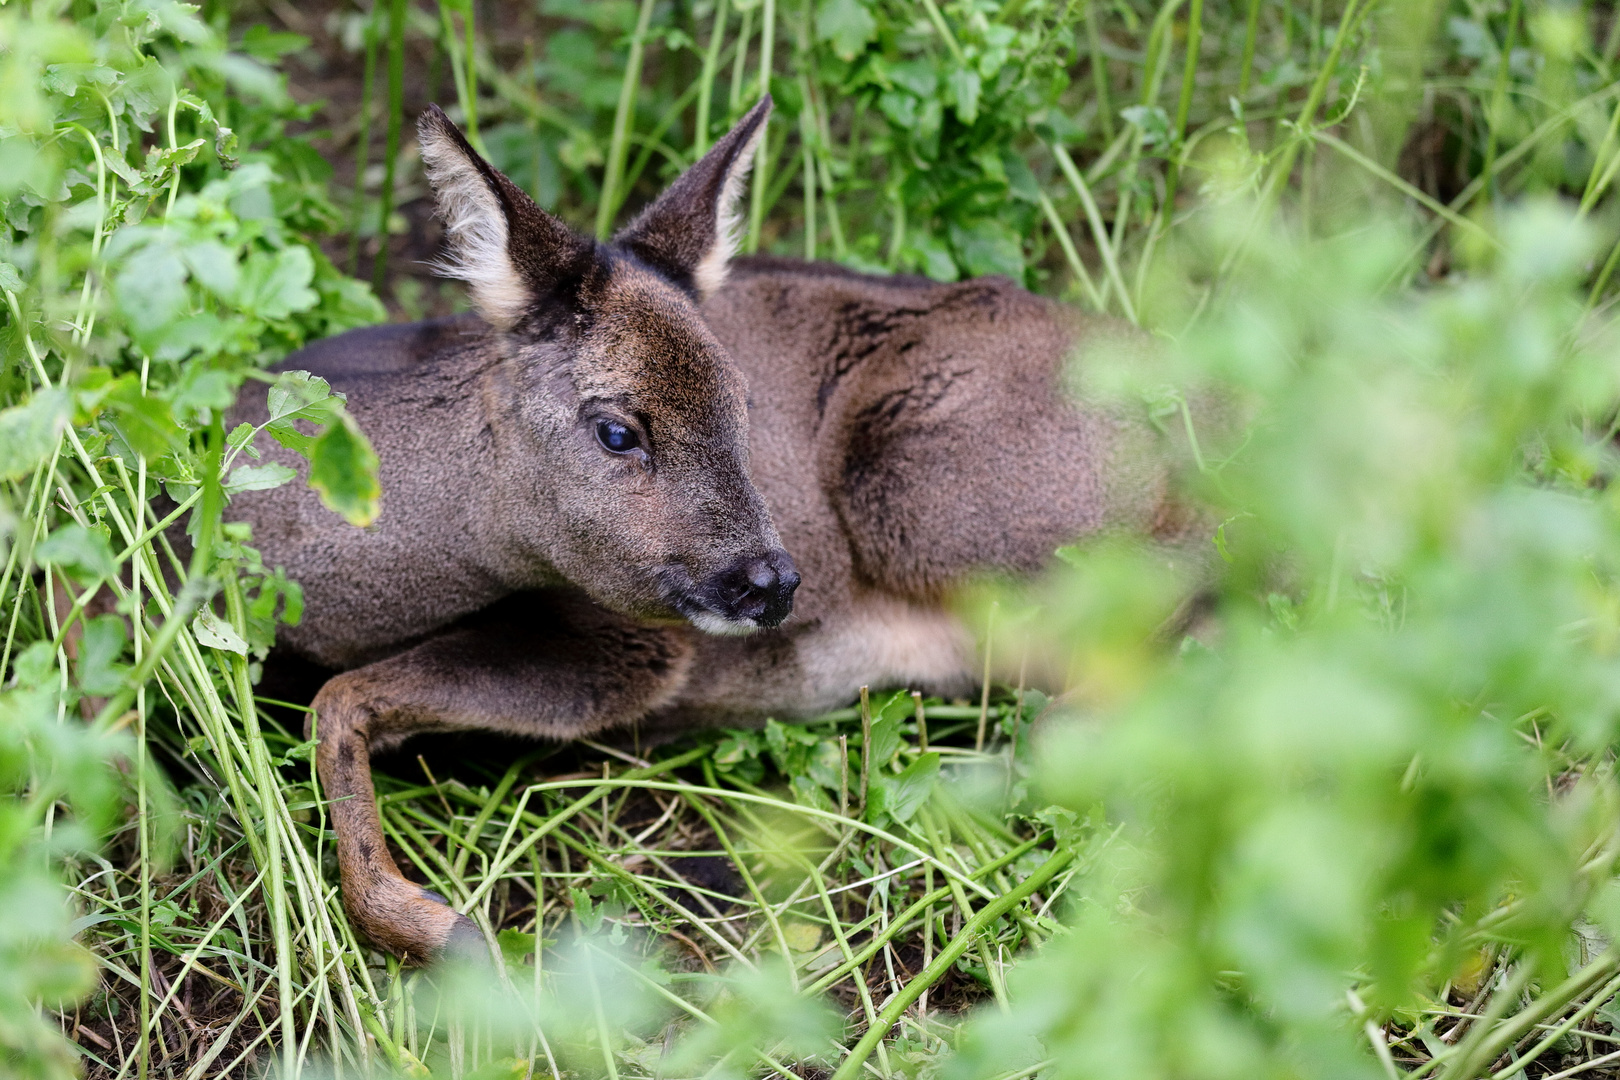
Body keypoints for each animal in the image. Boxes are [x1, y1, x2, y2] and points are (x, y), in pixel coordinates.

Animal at [225, 103, 1192, 965]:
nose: (772, 582)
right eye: (618, 429)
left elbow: (340, 698)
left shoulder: (636, 644)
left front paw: (445, 932)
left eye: (745, 403)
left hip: (923, 486)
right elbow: (340, 699)